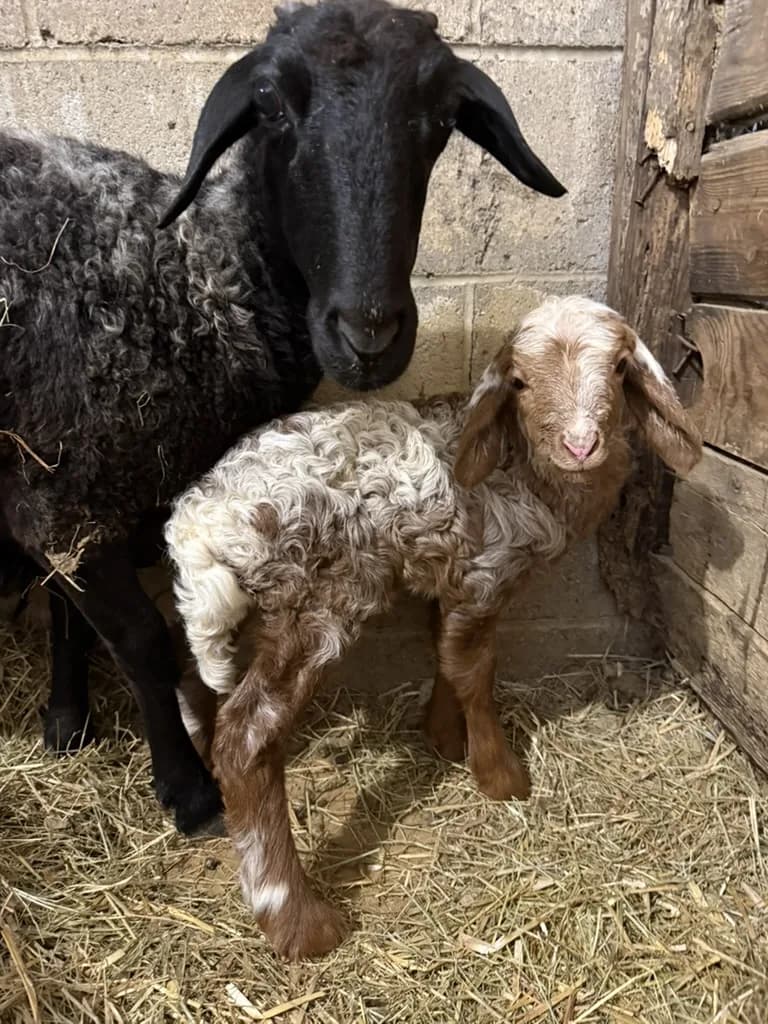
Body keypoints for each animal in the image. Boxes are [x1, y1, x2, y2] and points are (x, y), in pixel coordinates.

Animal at [0, 0, 565, 834]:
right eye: (269, 104)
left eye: (441, 119)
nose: (368, 332)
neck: (187, 280)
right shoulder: (69, 494)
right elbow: (140, 641)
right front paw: (189, 790)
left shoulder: (68, 491)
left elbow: (72, 615)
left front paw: (68, 724)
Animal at [165, 296, 703, 958]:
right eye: (520, 382)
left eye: (621, 367)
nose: (581, 444)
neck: (524, 471)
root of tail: (200, 527)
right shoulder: (485, 576)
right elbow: (475, 668)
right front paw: (500, 775)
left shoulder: (447, 574)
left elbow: (445, 655)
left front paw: (444, 738)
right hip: (317, 601)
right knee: (246, 738)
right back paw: (299, 919)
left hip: (241, 612)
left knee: (192, 683)